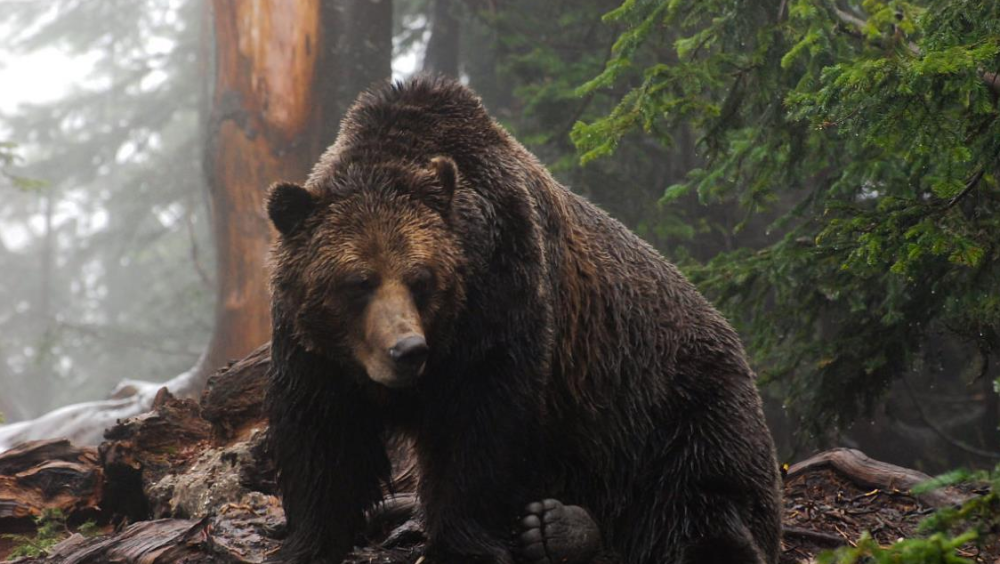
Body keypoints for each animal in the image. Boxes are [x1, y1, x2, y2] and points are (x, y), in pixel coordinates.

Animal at [266, 76, 780, 564]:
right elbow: (322, 437)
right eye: (359, 281)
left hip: (676, 399)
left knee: (704, 488)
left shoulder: (501, 301)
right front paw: (308, 542)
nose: (407, 350)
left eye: (421, 278)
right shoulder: (315, 351)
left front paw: (463, 545)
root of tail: (730, 332)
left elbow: (482, 428)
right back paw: (555, 527)